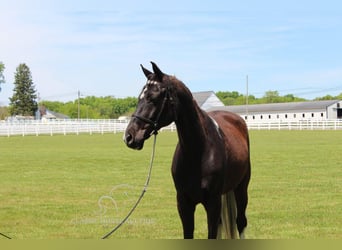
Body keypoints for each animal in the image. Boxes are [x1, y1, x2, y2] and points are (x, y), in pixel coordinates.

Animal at [123, 62, 251, 238]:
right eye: (139, 98)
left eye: (153, 98)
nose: (129, 137)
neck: (198, 152)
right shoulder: (184, 204)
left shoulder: (213, 203)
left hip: (241, 188)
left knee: (241, 222)